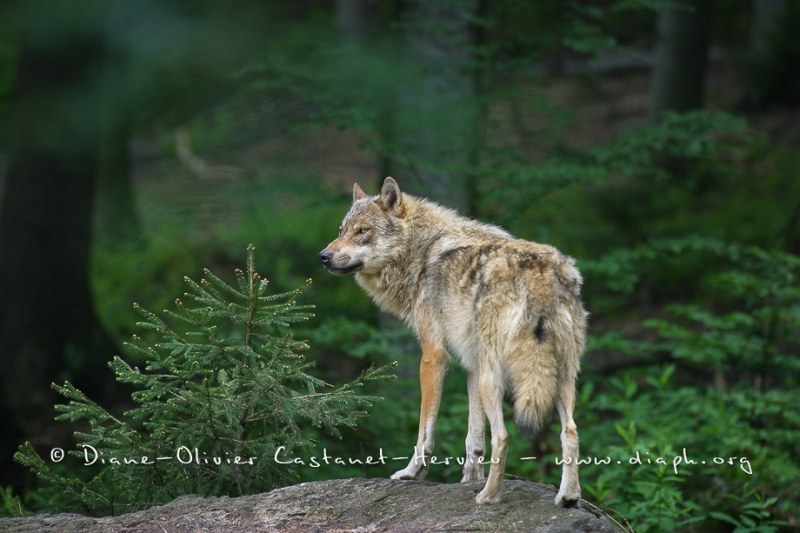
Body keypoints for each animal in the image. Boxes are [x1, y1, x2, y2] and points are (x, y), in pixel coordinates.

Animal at [318, 177, 588, 504]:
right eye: (341, 230)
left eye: (362, 231)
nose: (323, 256)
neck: (420, 251)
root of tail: (540, 273)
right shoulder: (471, 365)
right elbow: (474, 438)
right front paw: (469, 479)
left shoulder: (433, 356)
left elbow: (425, 430)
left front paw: (412, 473)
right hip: (557, 377)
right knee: (570, 430)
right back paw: (567, 497)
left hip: (494, 380)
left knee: (503, 435)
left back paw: (488, 497)